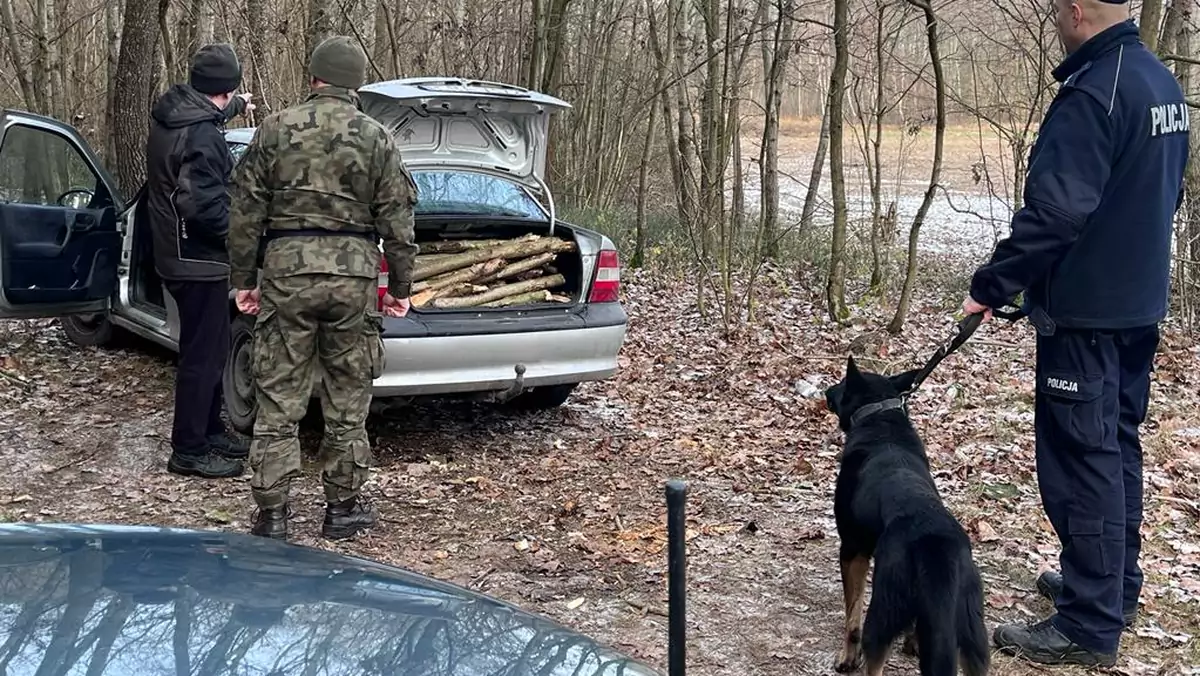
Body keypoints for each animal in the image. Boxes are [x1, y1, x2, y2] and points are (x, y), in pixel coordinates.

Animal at [825, 357, 993, 672]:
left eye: (841, 384)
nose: (827, 390)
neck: (880, 417)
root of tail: (937, 547)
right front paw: (914, 643)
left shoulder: (852, 551)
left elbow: (852, 617)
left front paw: (847, 659)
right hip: (974, 637)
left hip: (882, 611)